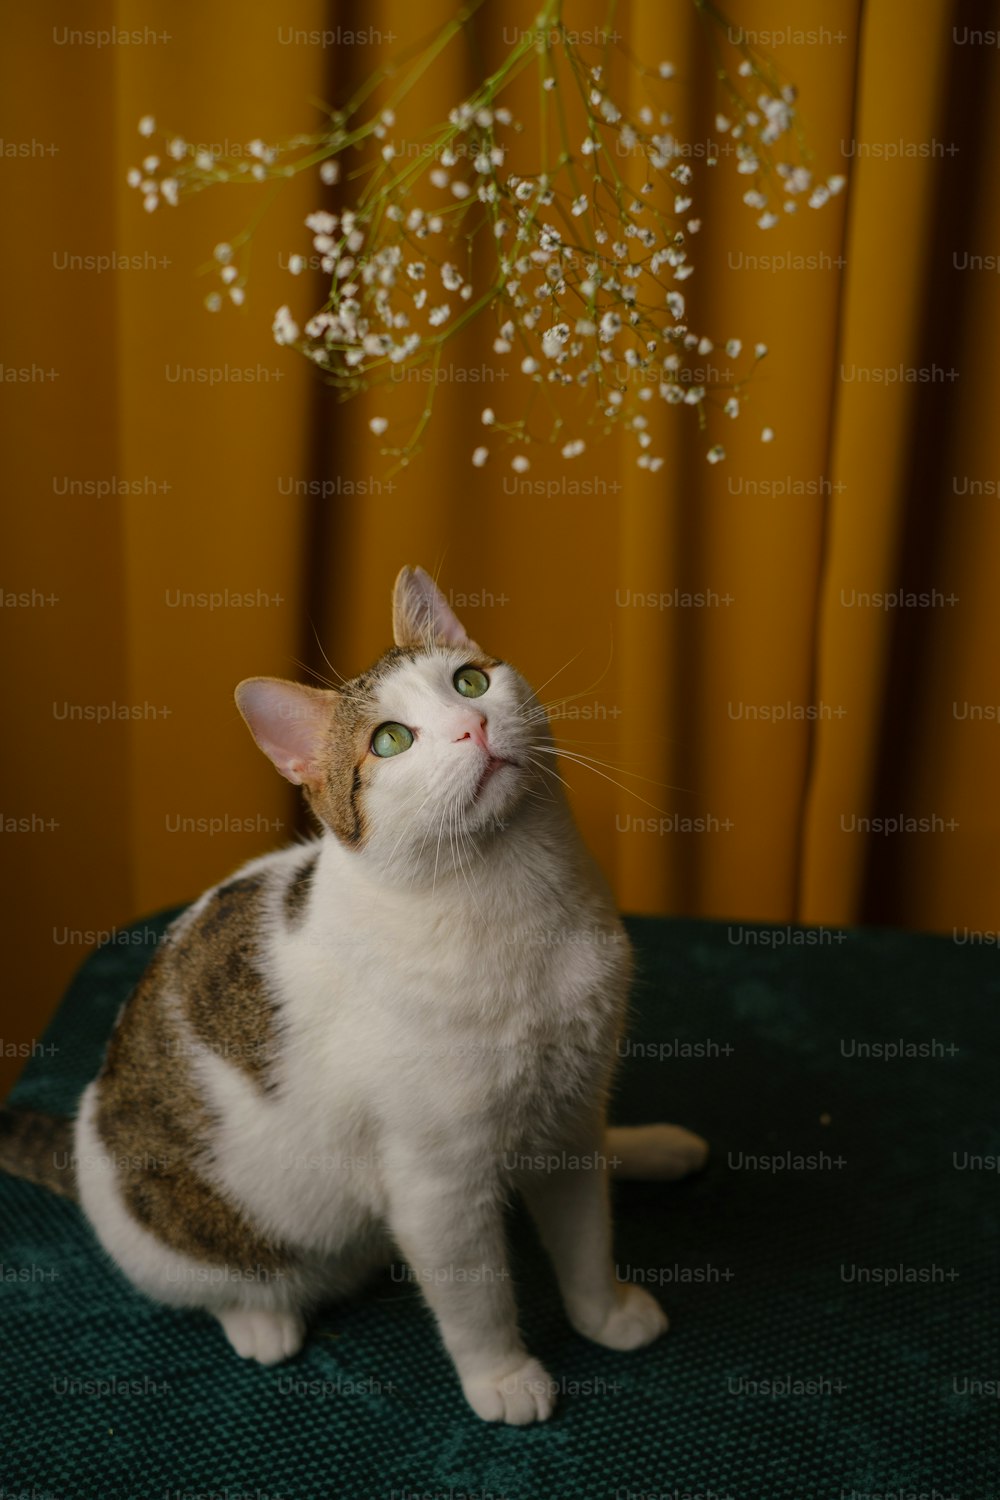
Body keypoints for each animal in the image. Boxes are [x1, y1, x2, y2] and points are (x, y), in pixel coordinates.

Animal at [0, 567, 707, 1422]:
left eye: (470, 681)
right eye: (390, 741)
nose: (472, 726)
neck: (515, 901)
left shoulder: (568, 1114)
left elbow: (585, 1239)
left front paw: (604, 1314)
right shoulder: (436, 1182)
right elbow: (478, 1297)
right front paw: (503, 1377)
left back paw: (649, 1146)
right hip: (173, 1227)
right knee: (215, 1282)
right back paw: (262, 1321)